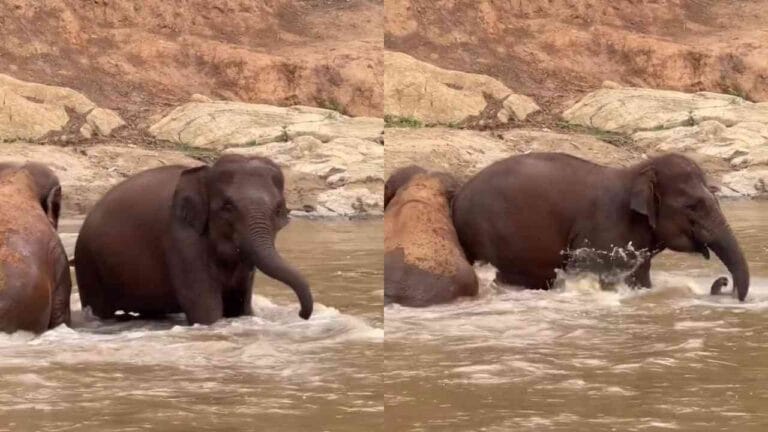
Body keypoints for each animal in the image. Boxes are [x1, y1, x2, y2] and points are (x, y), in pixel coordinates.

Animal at [74, 155, 313, 325]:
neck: (204, 173)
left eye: (279, 209)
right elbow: (205, 308)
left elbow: (240, 306)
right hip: (88, 264)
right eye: (227, 206)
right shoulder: (181, 236)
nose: (301, 314)